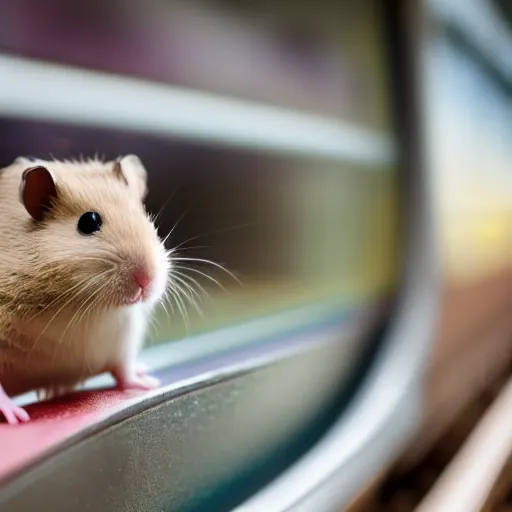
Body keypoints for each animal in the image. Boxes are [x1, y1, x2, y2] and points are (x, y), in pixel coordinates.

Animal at [0, 156, 170, 424]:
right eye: (88, 222)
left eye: (145, 217)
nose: (147, 281)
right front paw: (18, 417)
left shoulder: (123, 338)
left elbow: (124, 371)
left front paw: (150, 384)